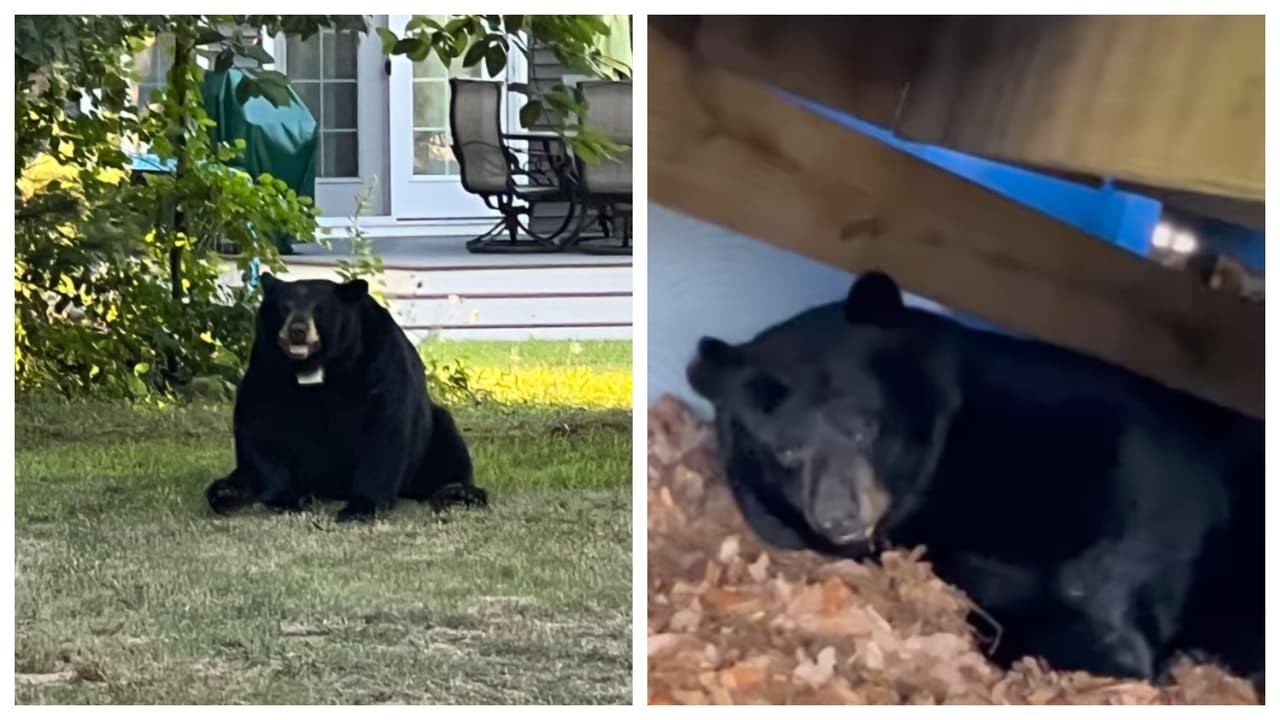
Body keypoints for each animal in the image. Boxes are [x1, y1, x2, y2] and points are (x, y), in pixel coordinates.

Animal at [205, 274, 488, 523]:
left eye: (320, 309)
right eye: (284, 307)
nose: (297, 330)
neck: (317, 365)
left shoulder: (380, 360)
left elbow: (385, 426)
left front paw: (361, 507)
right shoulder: (267, 364)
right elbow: (260, 422)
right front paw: (284, 498)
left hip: (432, 435)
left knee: (448, 445)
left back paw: (458, 492)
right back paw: (228, 493)